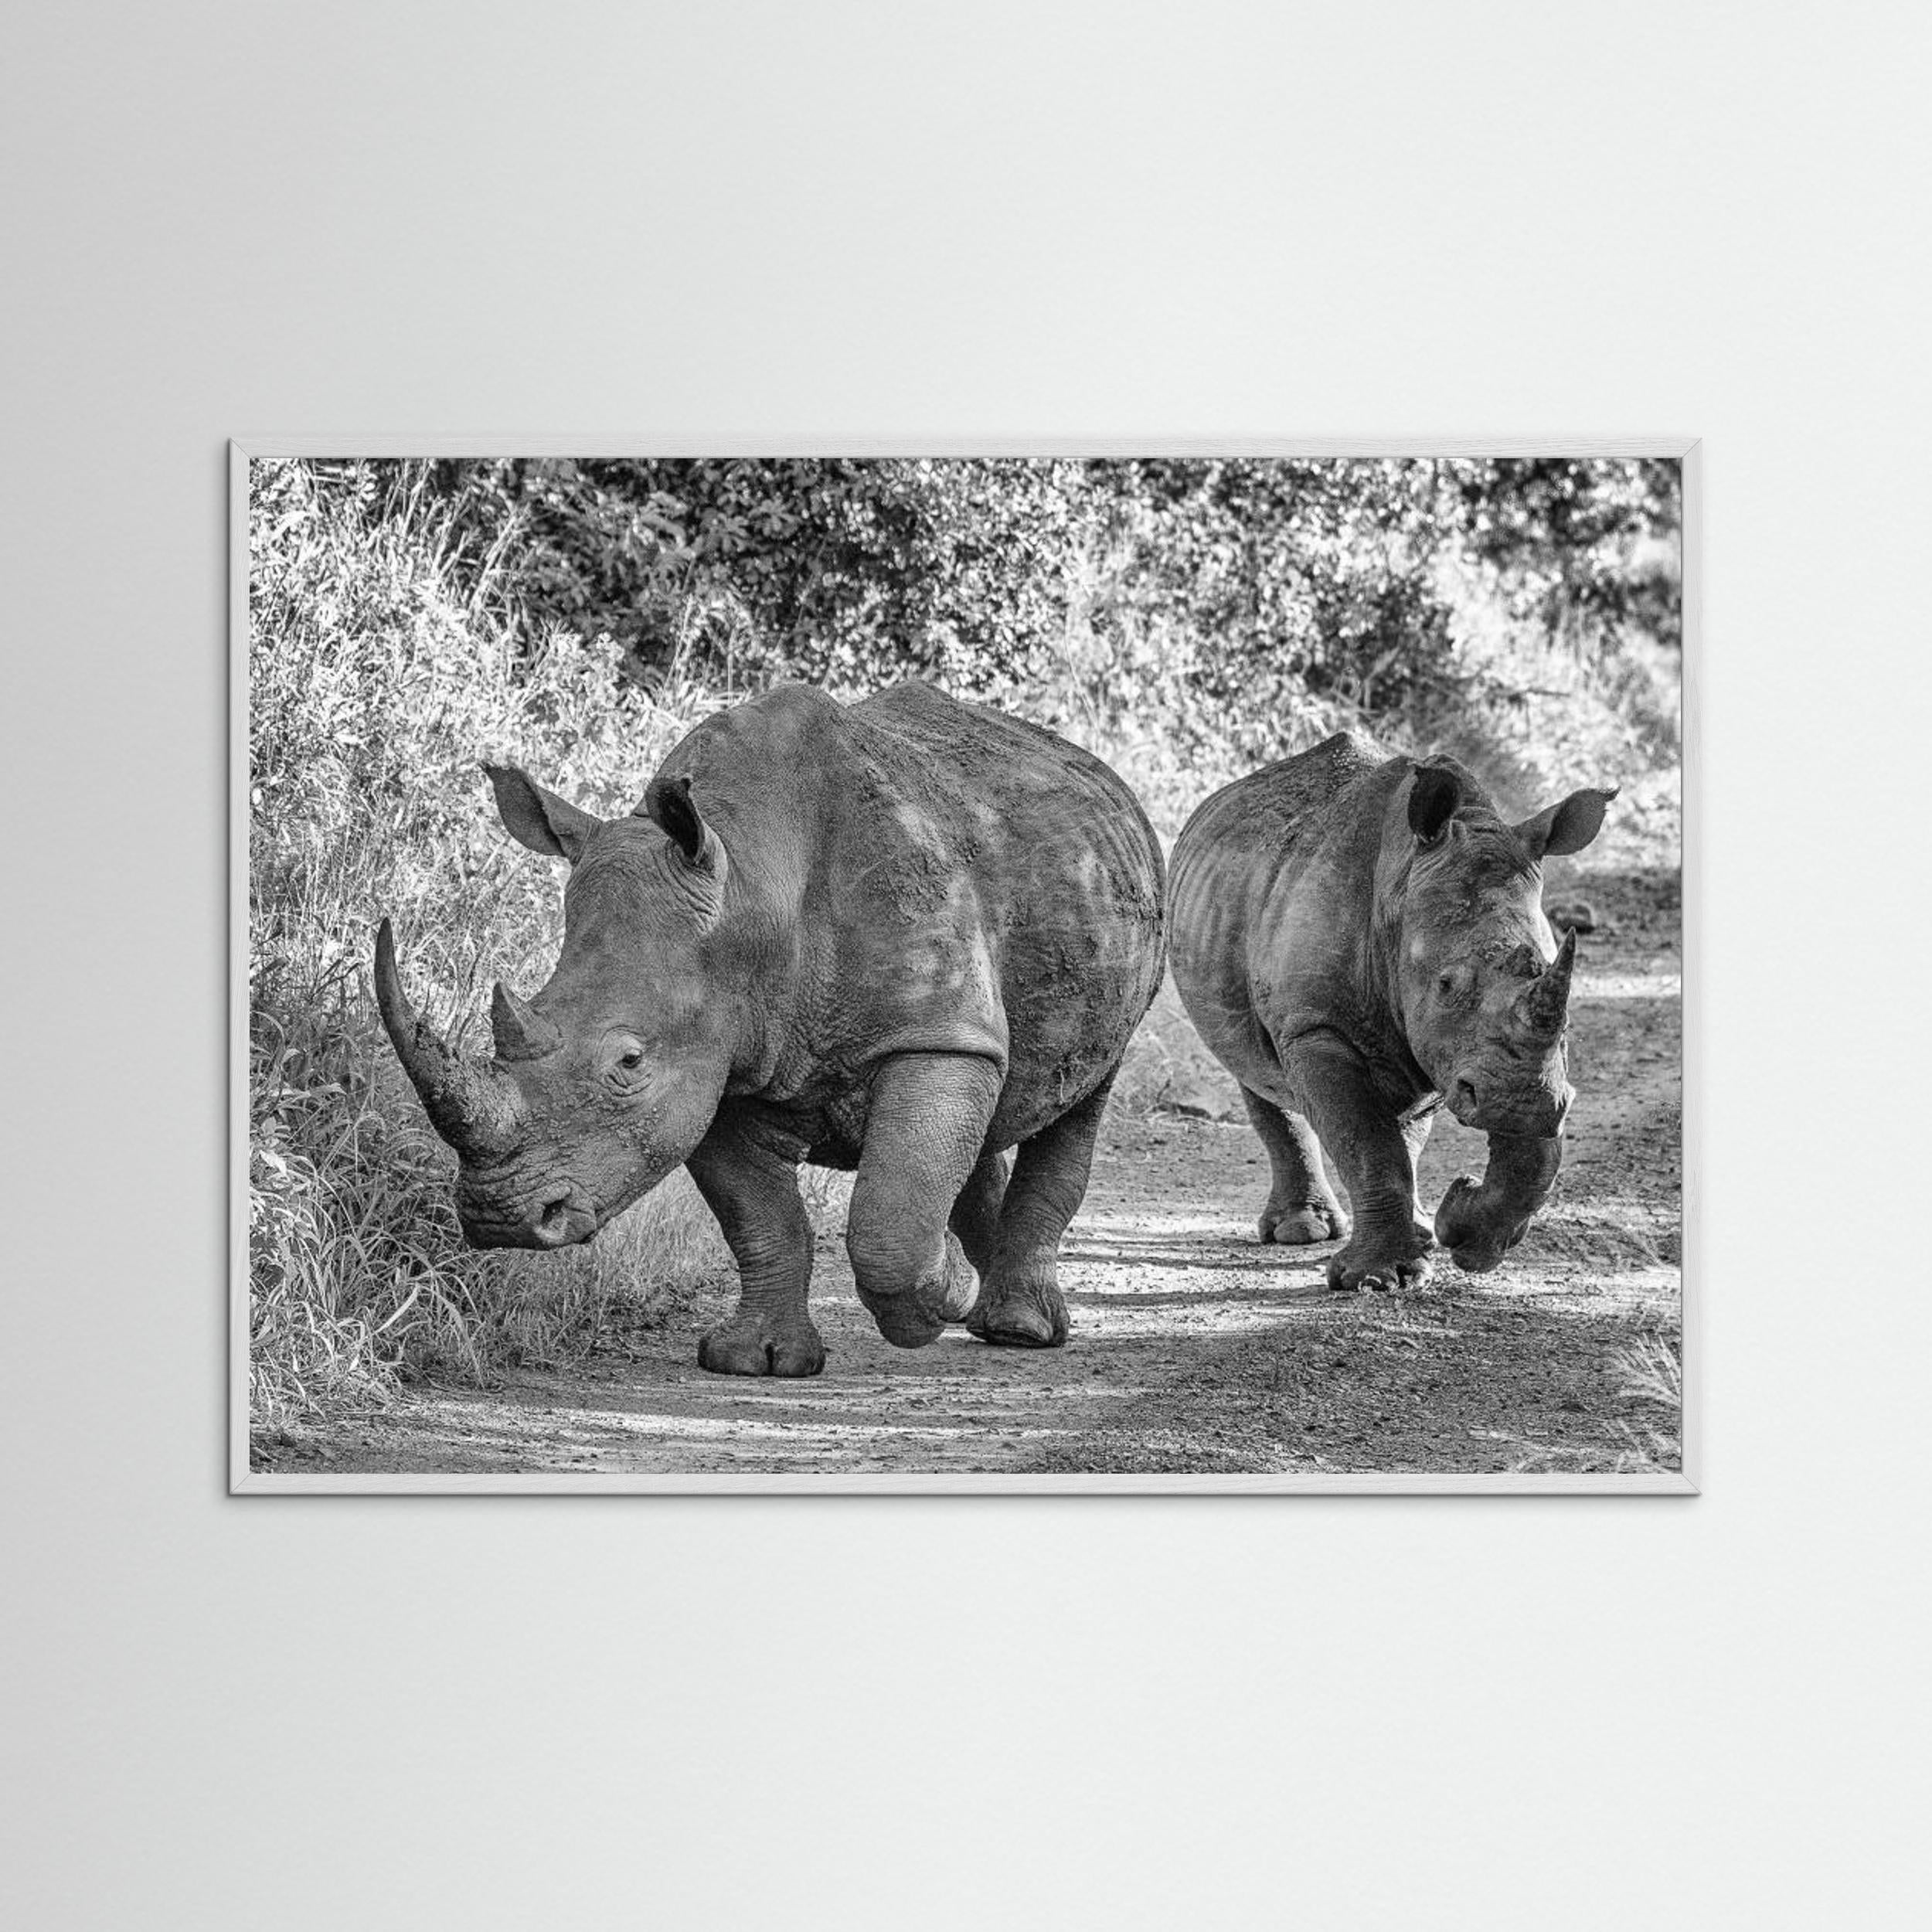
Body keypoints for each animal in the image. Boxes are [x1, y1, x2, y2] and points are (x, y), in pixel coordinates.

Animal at [374, 681, 1165, 1374]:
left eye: (628, 1063)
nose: (499, 1216)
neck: (752, 888)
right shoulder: (719, 1058)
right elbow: (760, 1220)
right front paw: (758, 1361)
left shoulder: (930, 1030)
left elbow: (890, 1223)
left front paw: (940, 1294)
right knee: (998, 1096)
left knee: (1080, 1095)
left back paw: (1017, 1328)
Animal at [1168, 731, 1614, 1292]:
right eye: (1446, 985)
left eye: (1557, 991)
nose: (1523, 1102)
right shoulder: (1315, 1026)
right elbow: (1365, 1142)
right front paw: (1379, 1279)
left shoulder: (1469, 1054)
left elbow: (1521, 1160)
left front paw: (1461, 1232)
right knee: (1254, 1069)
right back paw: (1302, 1232)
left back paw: (1417, 1227)